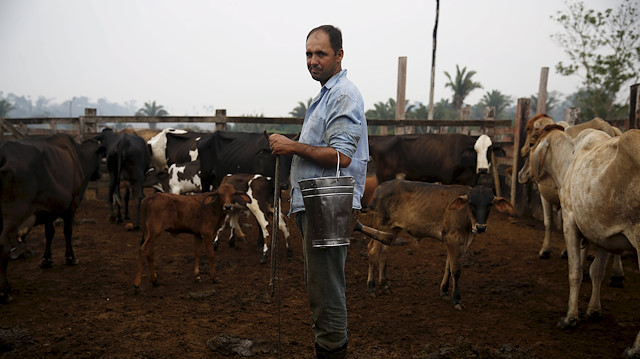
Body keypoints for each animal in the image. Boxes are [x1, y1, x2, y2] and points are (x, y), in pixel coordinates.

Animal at [0, 135, 104, 304]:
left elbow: (49, 233)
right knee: (3, 245)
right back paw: (4, 292)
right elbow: (67, 231)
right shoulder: (72, 205)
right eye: (101, 155)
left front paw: (47, 260)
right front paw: (70, 257)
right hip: (12, 214)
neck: (79, 157)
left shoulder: (48, 209)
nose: (100, 174)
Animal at [364, 181, 516, 310]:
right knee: (373, 250)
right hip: (381, 225)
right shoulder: (452, 239)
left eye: (490, 204)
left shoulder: (454, 243)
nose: (480, 227)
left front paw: (444, 291)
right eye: (471, 203)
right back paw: (371, 288)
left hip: (392, 229)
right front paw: (457, 300)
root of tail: (380, 187)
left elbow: (448, 265)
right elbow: (455, 269)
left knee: (384, 252)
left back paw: (385, 285)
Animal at [368, 134, 508, 187]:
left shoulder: (469, 182)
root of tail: (376, 140)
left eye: (490, 150)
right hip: (384, 176)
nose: (483, 169)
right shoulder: (447, 179)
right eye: (475, 151)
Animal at [556, 129, 640, 358]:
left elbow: (575, 271)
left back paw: (634, 349)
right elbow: (597, 272)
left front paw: (570, 317)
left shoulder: (569, 218)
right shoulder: (604, 234)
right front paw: (593, 310)